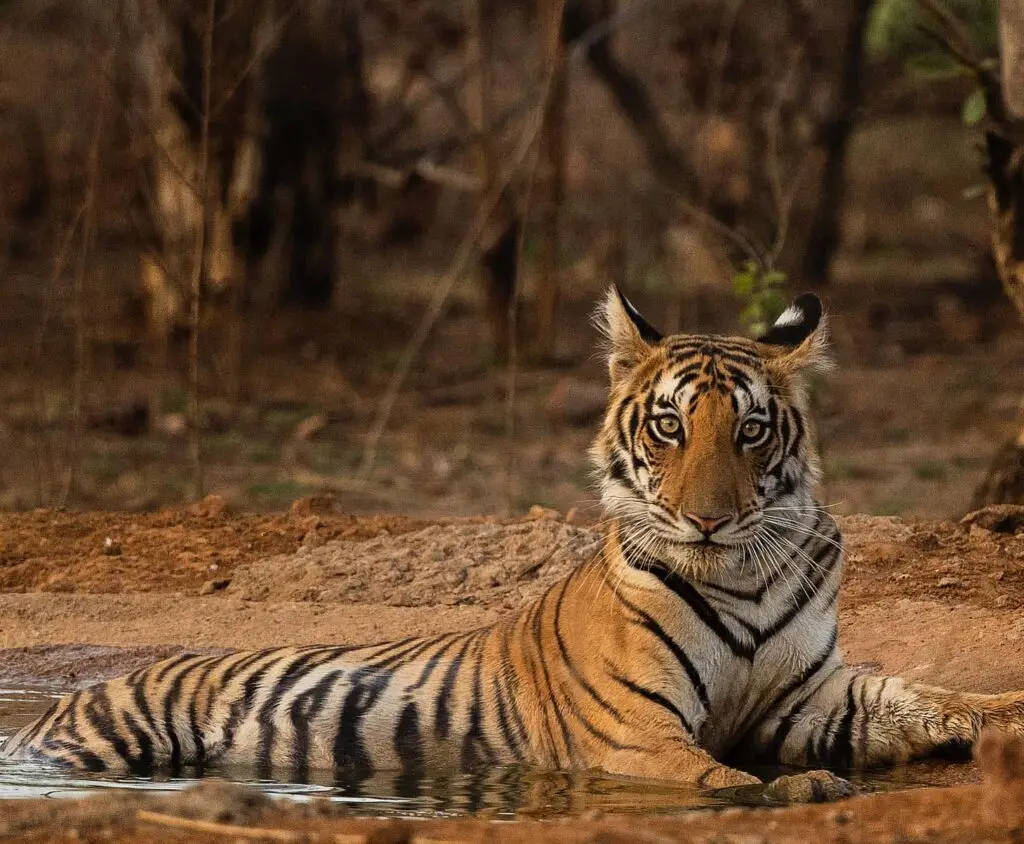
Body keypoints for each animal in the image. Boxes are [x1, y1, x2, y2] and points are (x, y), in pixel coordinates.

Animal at [5, 288, 1024, 805]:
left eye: (750, 432)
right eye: (669, 427)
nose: (707, 519)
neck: (741, 571)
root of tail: (73, 697)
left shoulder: (809, 699)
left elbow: (933, 694)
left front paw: (1002, 713)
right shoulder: (634, 734)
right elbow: (722, 776)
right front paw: (799, 791)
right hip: (105, 747)